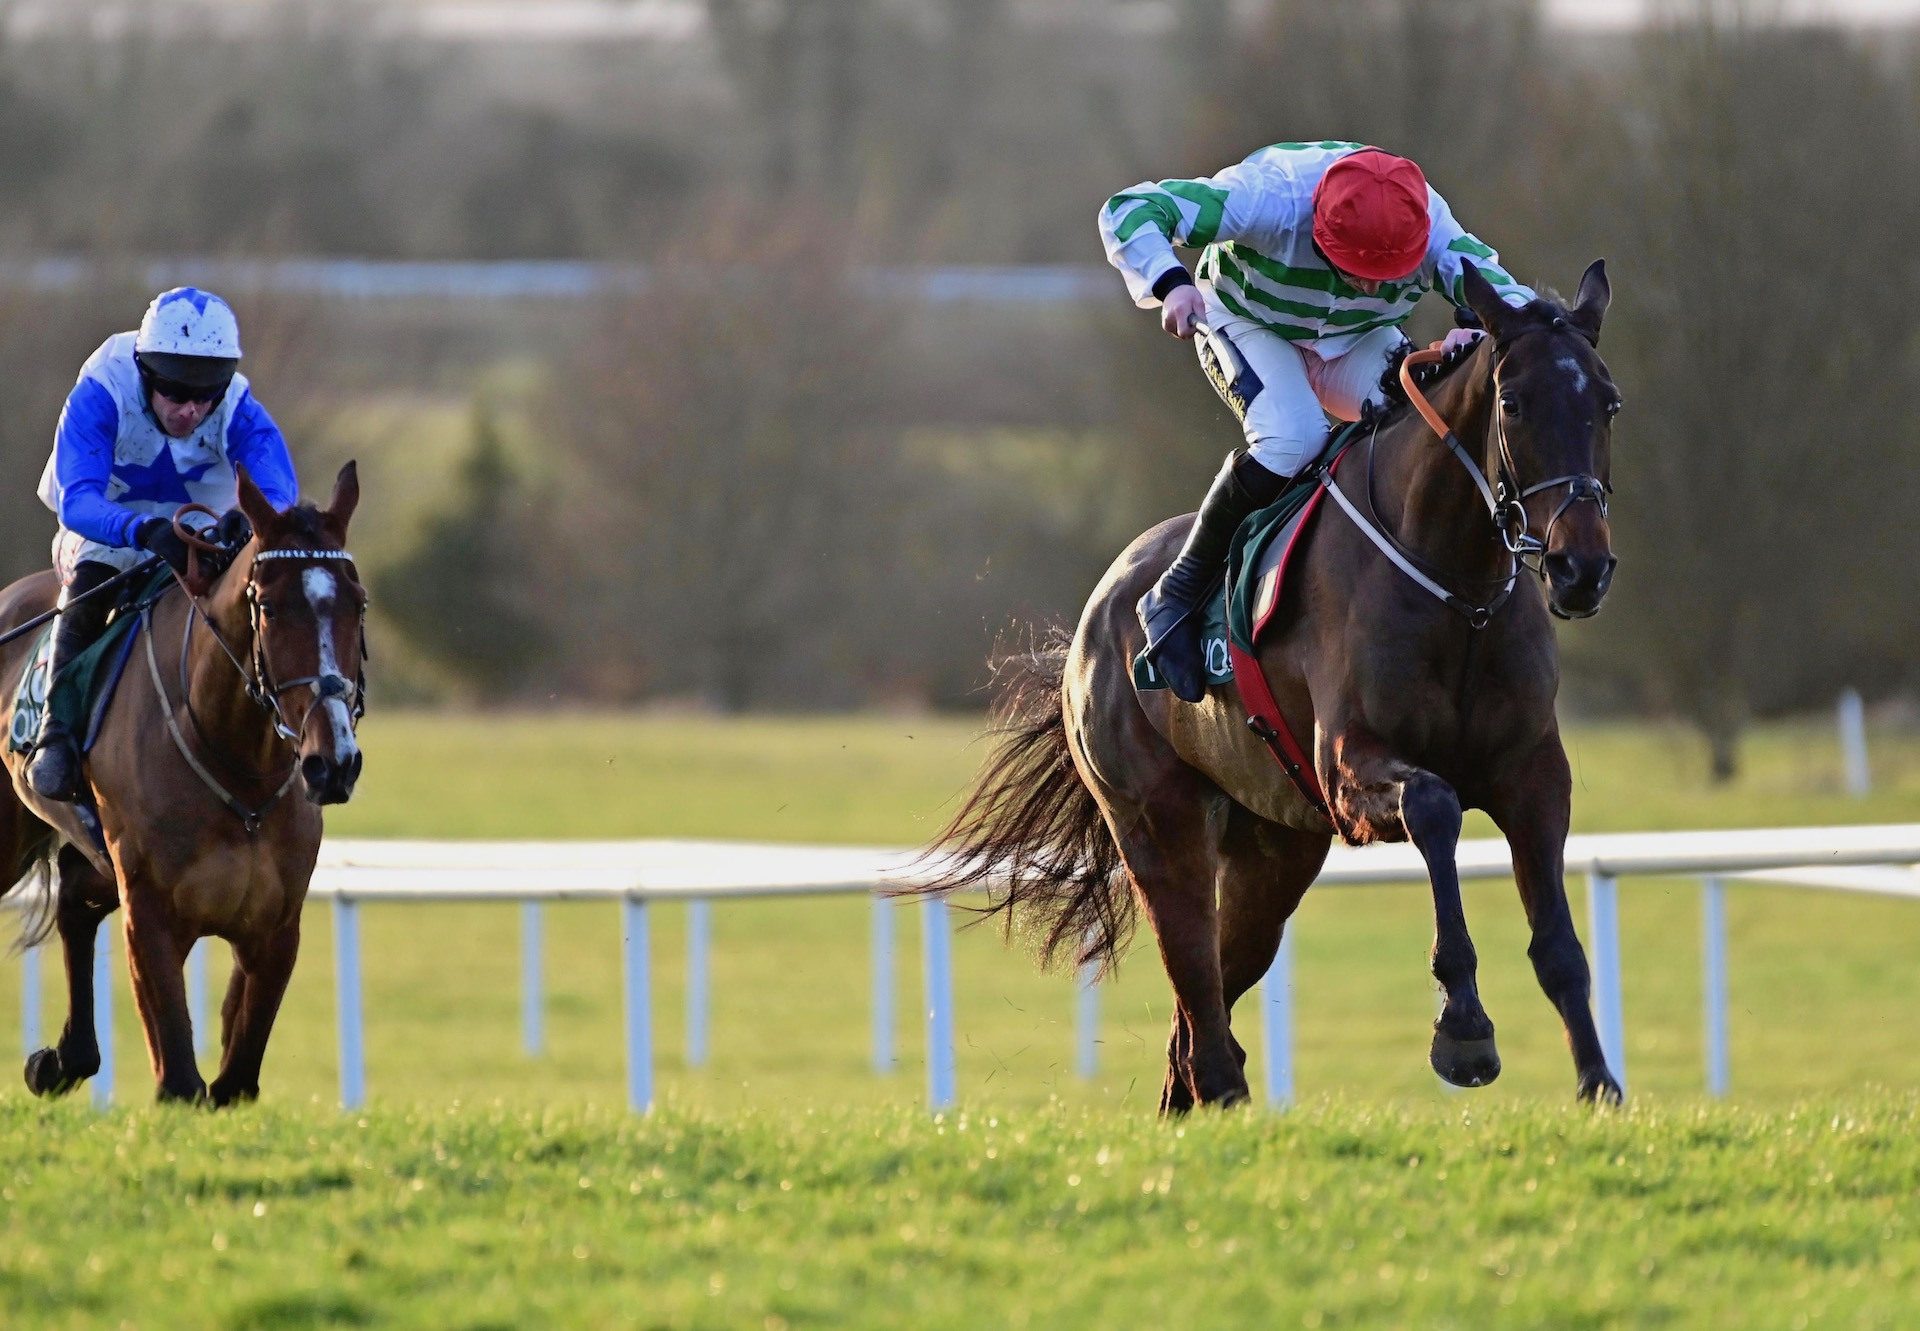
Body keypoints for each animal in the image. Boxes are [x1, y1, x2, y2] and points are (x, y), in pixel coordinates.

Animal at [0, 462, 364, 1106]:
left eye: (360, 604)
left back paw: (65, 1059)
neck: (240, 772)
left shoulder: (275, 927)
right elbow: (180, 1079)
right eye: (270, 608)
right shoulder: (151, 914)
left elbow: (235, 1078)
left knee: (74, 897)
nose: (334, 761)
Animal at [913, 263, 1620, 1113]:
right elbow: (1436, 806)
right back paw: (1226, 1093)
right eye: (1513, 404)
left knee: (1200, 1011)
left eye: (1608, 401)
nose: (1582, 567)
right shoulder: (1348, 766)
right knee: (1195, 982)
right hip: (1158, 824)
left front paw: (1599, 1084)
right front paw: (1464, 1029)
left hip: (1273, 849)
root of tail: (1094, 617)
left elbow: (1559, 942)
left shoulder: (1532, 772)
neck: (1458, 588)